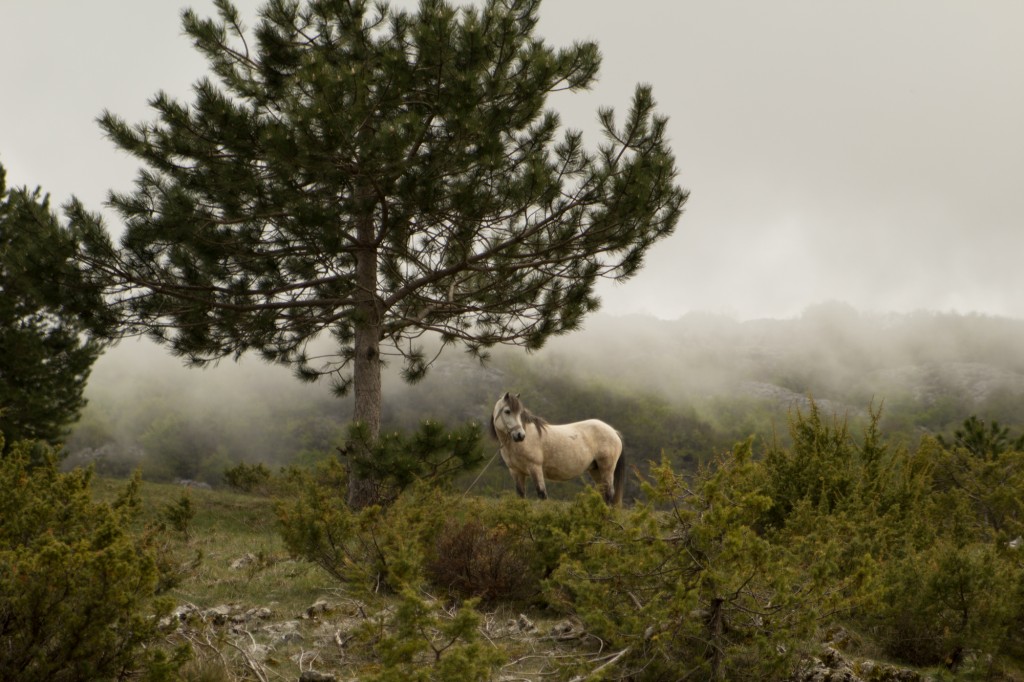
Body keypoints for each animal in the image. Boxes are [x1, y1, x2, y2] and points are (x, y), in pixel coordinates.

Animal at [487, 391, 622, 501]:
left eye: (520, 413)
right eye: (507, 411)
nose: (520, 435)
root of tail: (613, 431)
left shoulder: (535, 468)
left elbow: (542, 495)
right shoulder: (516, 472)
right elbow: (521, 496)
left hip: (607, 469)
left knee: (609, 495)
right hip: (596, 470)